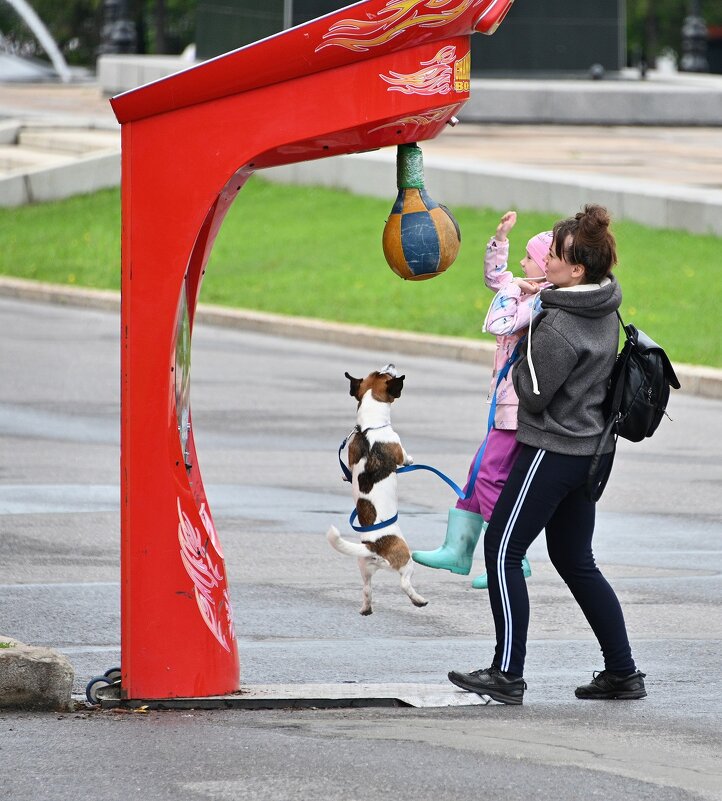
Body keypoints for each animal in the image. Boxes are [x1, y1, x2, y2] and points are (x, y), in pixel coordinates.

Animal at [324, 366, 424, 616]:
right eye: (386, 374)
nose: (390, 364)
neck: (368, 428)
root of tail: (374, 547)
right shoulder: (397, 447)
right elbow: (404, 457)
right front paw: (411, 460)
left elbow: (349, 470)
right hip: (406, 559)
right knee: (404, 583)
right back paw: (419, 600)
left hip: (364, 567)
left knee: (367, 589)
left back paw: (366, 609)